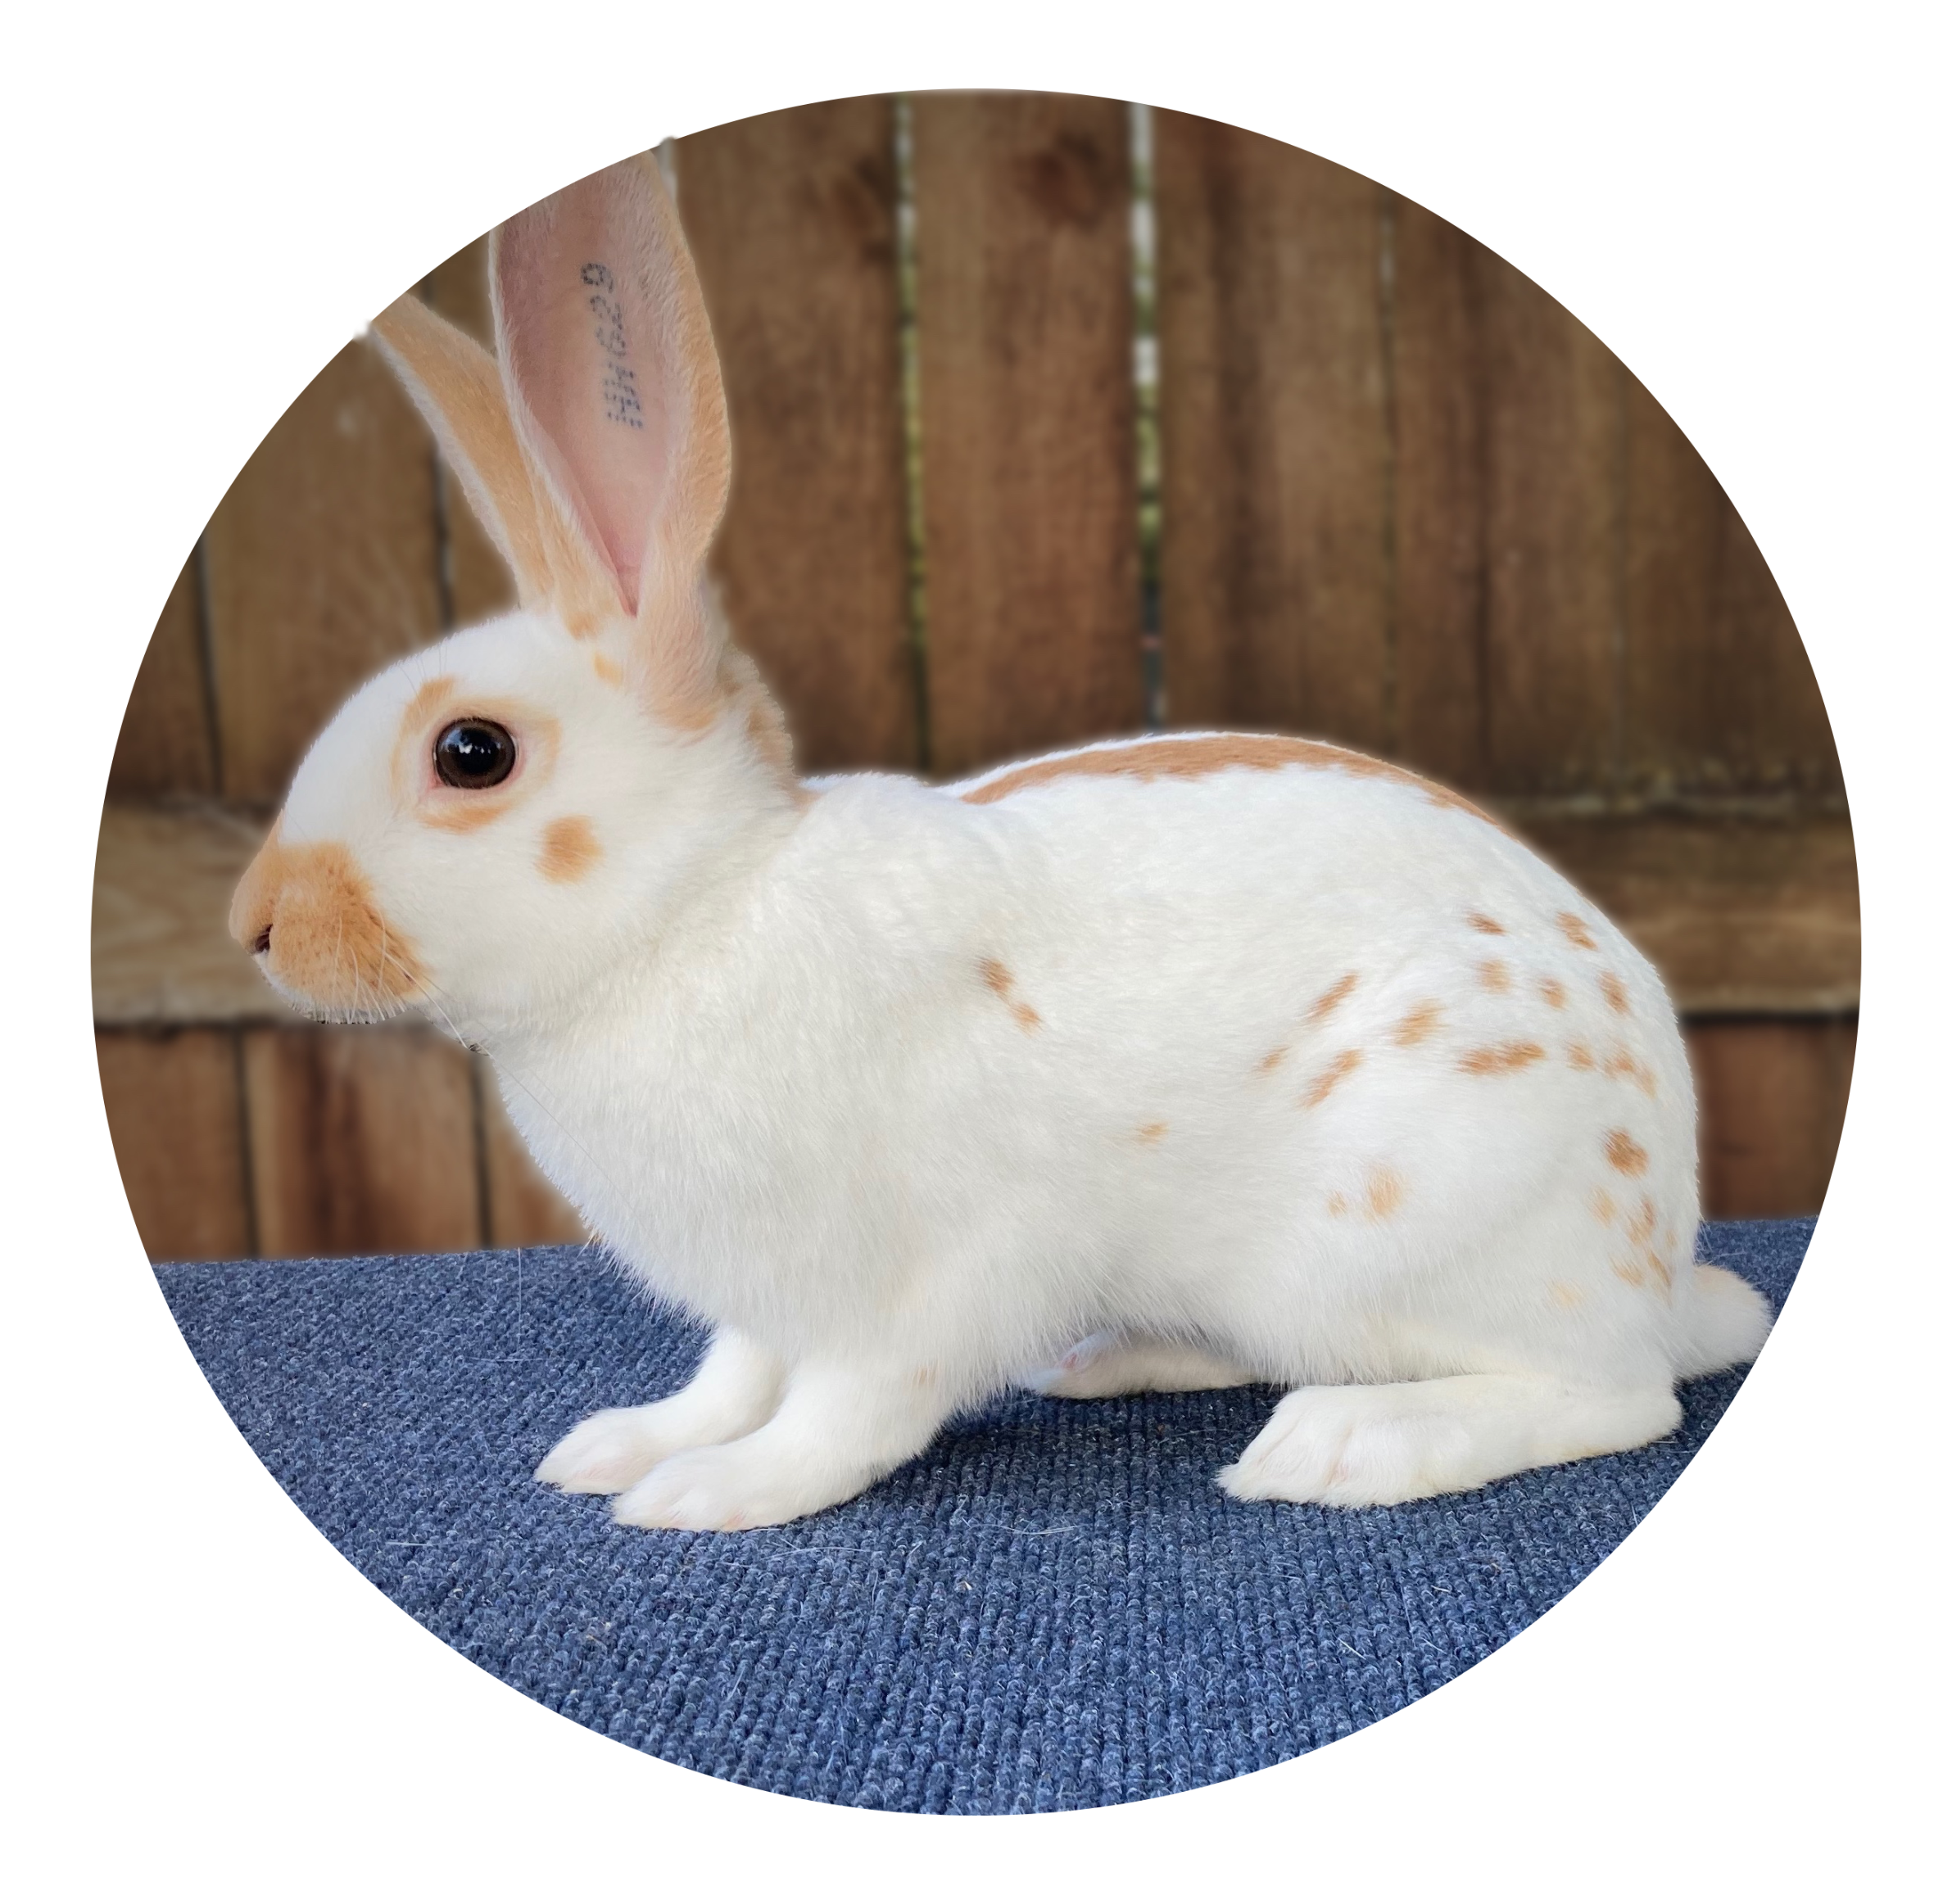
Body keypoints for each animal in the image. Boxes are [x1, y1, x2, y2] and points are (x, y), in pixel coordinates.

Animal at [228, 149, 1771, 1532]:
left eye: (470, 753)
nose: (255, 926)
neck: (694, 912)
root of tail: (1656, 1255)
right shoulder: (763, 1297)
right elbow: (731, 1374)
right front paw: (626, 1443)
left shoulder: (915, 1284)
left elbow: (841, 1414)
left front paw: (710, 1493)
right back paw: (1111, 1361)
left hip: (1418, 1233)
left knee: (1609, 1396)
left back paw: (1339, 1446)